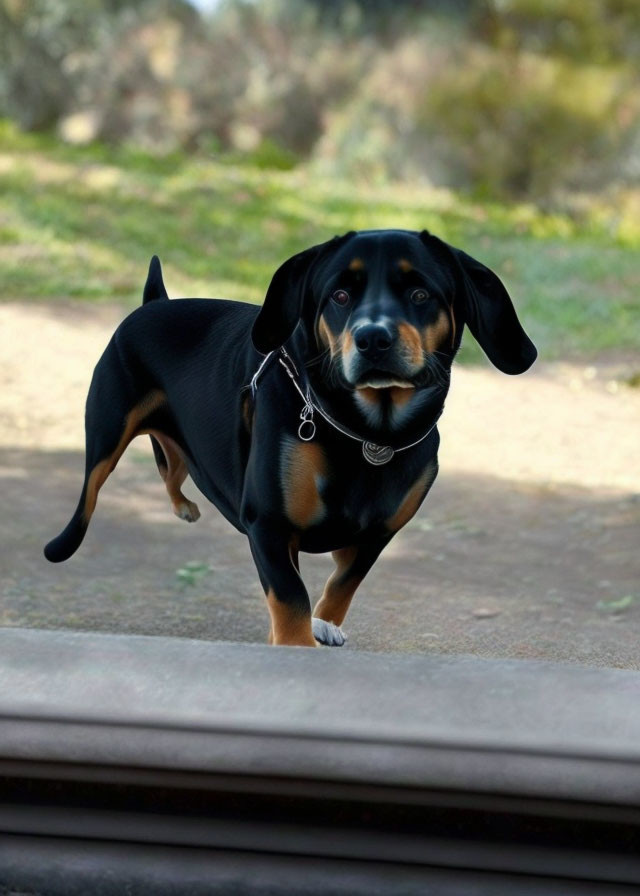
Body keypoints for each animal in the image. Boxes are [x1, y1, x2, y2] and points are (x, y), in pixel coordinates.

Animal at [45, 229, 536, 644]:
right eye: (340, 295)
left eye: (420, 294)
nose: (373, 339)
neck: (366, 435)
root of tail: (154, 303)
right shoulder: (269, 523)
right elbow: (290, 596)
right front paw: (298, 642)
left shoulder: (376, 533)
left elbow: (343, 581)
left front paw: (324, 624)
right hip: (108, 428)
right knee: (94, 489)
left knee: (173, 463)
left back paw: (184, 505)